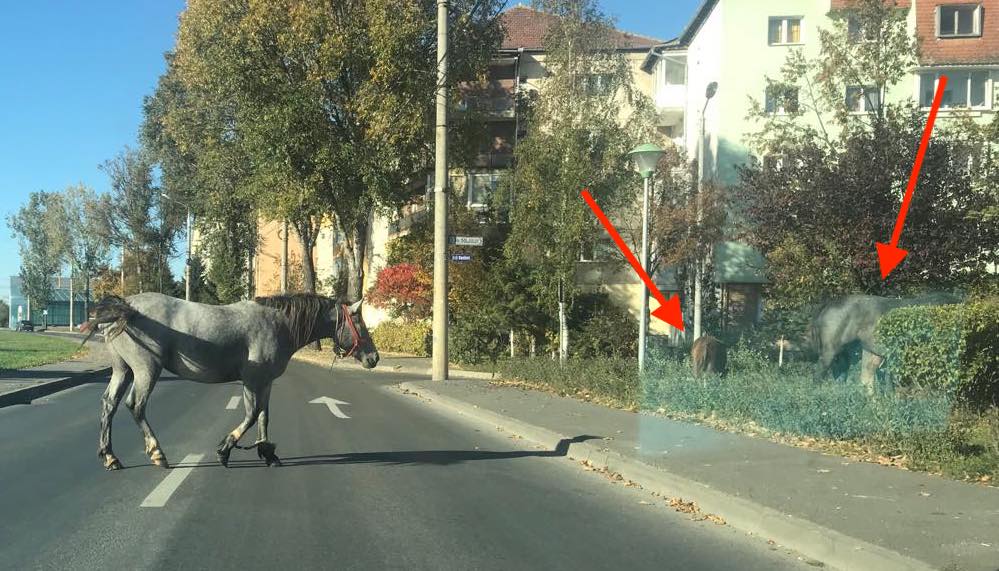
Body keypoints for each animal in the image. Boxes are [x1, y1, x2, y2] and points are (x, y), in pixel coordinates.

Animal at [81, 292, 378, 472]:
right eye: (360, 322)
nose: (374, 358)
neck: (276, 323)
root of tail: (125, 307)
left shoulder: (265, 382)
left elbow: (263, 416)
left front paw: (268, 452)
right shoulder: (252, 380)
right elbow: (251, 415)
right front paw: (225, 449)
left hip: (123, 370)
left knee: (109, 404)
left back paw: (110, 457)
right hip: (146, 370)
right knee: (136, 406)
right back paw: (157, 454)